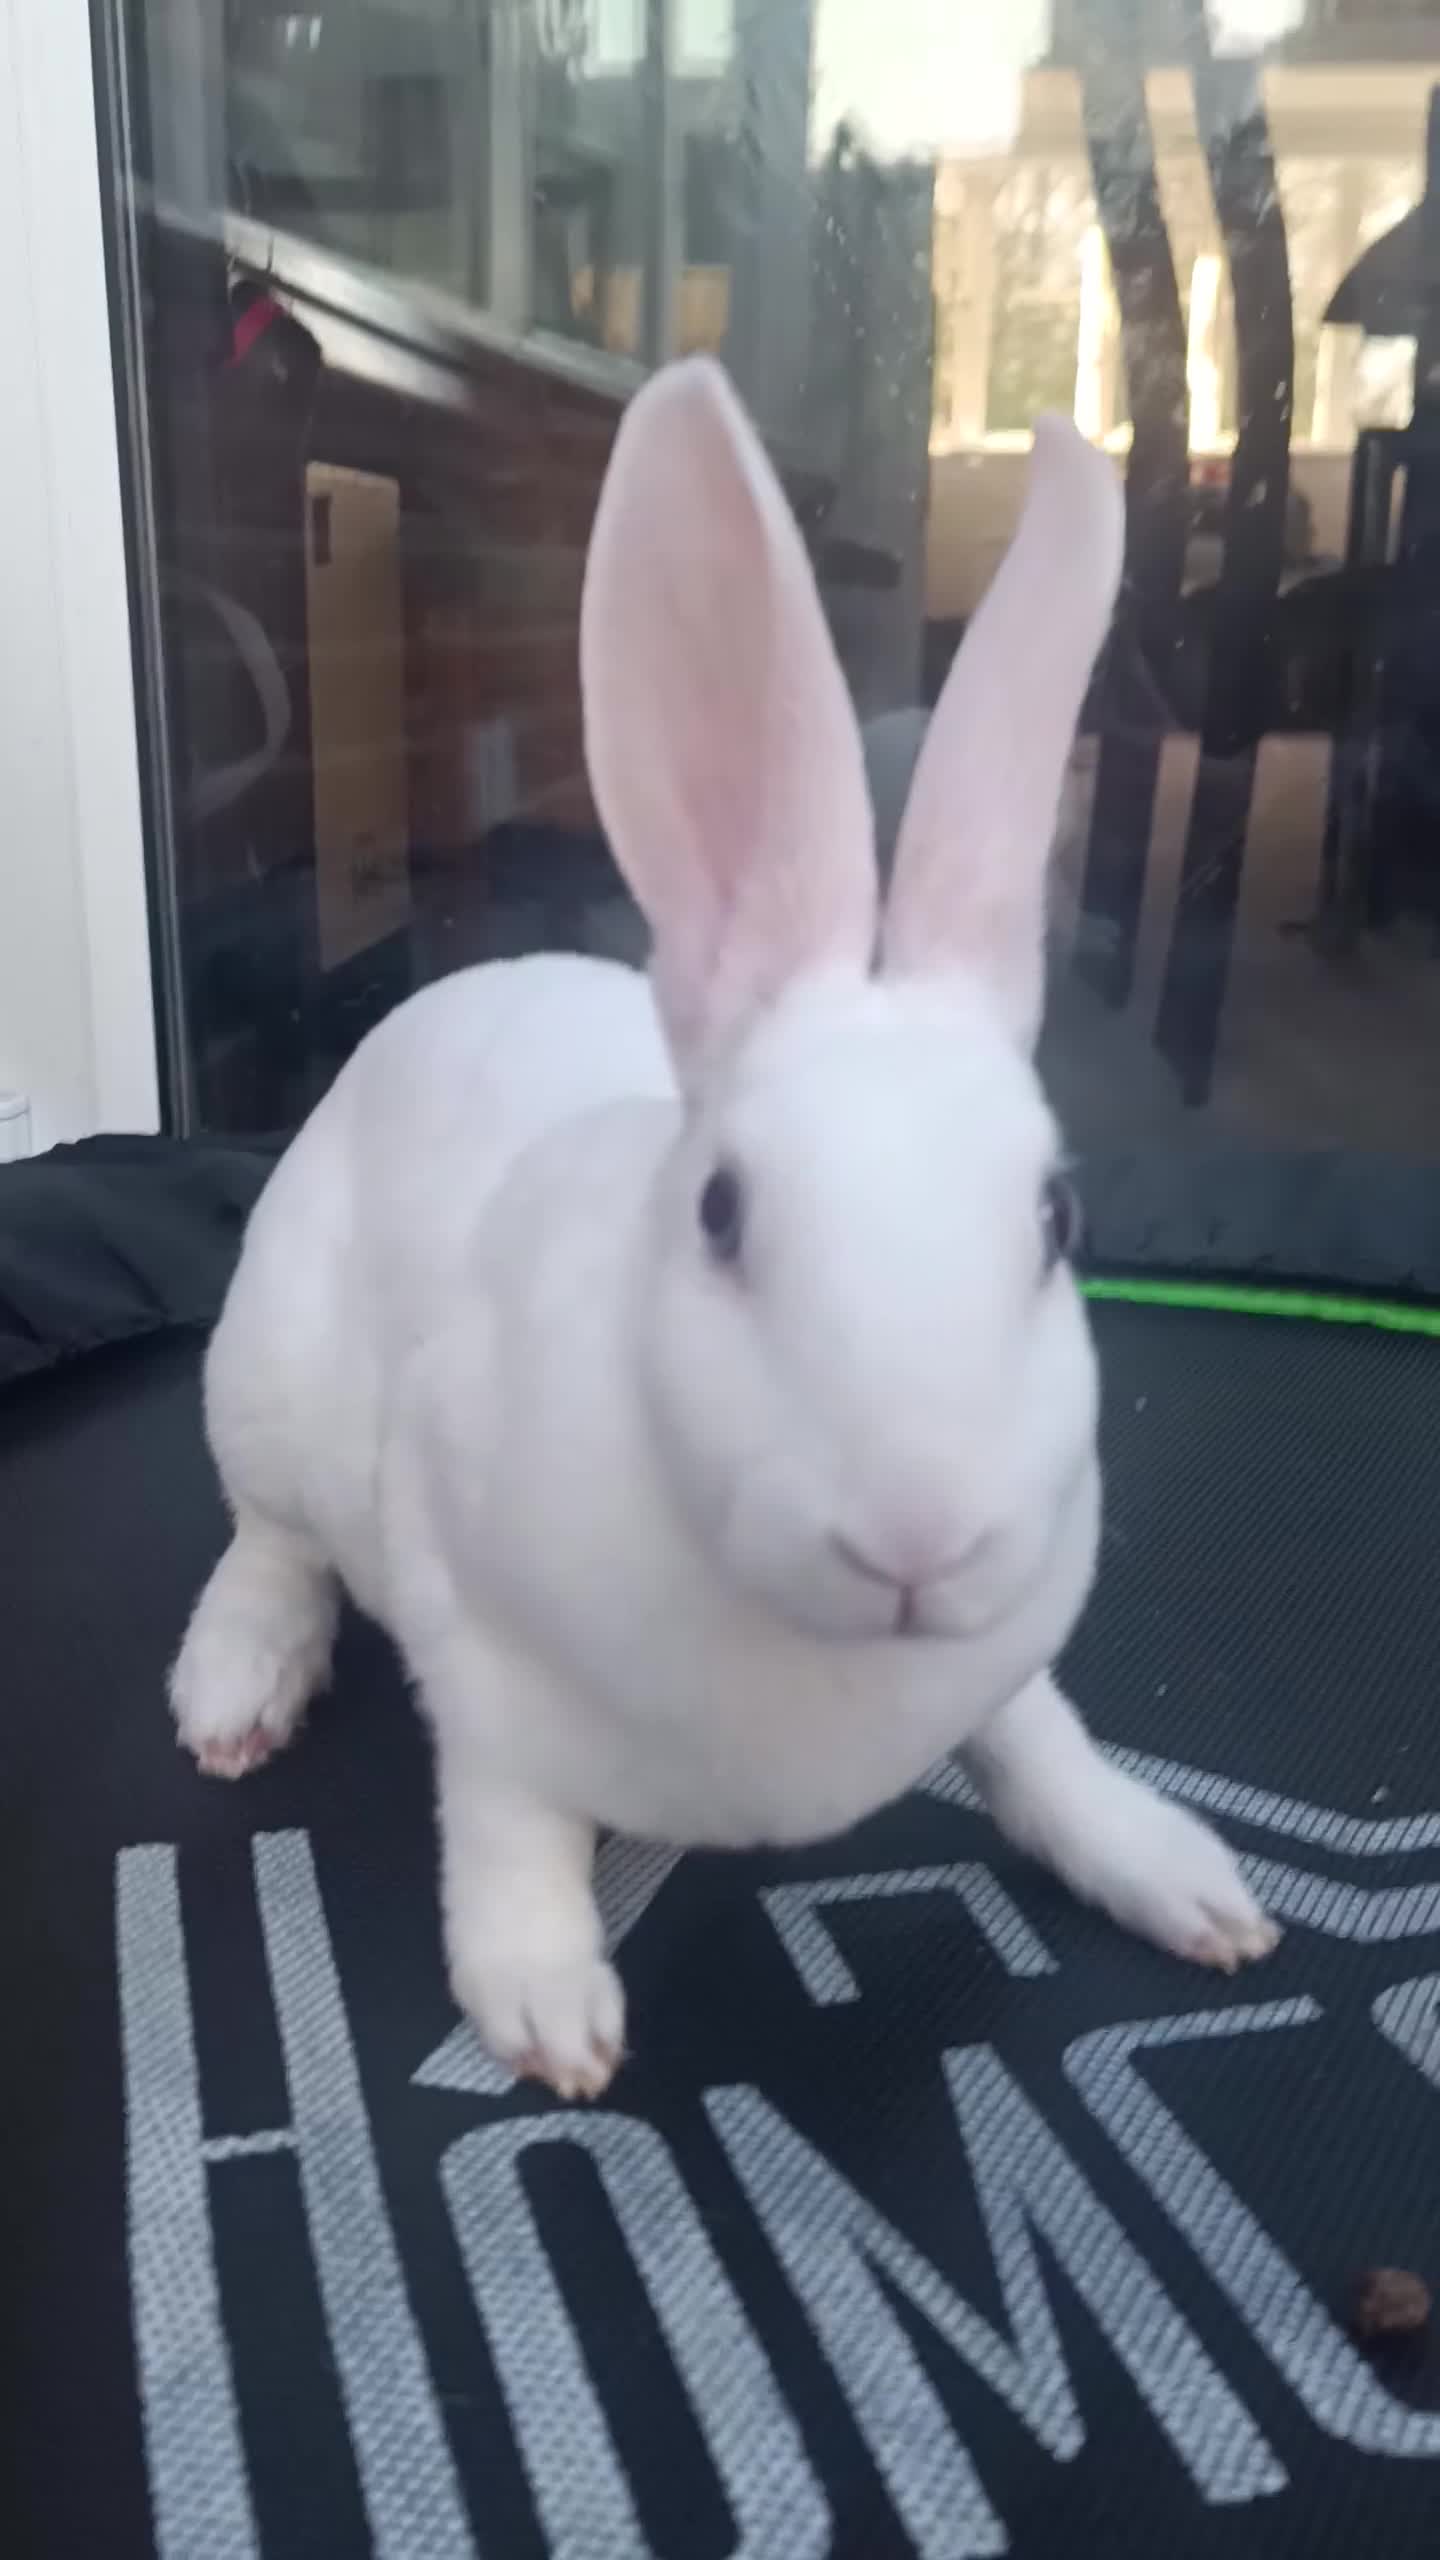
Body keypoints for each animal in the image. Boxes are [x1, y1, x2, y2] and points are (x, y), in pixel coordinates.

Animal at [172, 358, 1276, 2099]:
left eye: (1056, 1216)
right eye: (721, 1213)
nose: (917, 1540)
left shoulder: (1007, 1652)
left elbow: (1040, 1745)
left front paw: (1180, 1880)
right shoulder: (480, 1663)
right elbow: (504, 1832)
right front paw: (549, 2017)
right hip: (265, 1382)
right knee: (269, 1545)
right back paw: (235, 1692)